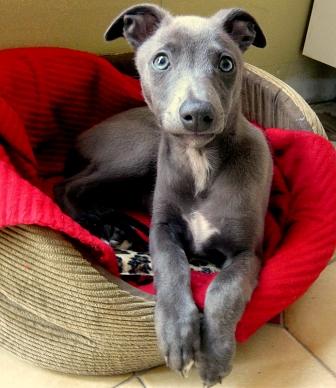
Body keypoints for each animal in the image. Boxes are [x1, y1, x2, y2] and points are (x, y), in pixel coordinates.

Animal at [55, 4, 272, 386]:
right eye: (161, 61)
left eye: (226, 63)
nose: (197, 114)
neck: (200, 163)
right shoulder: (162, 229)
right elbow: (171, 266)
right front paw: (177, 335)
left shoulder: (248, 252)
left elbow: (224, 289)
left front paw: (214, 355)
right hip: (142, 149)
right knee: (68, 185)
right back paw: (97, 223)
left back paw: (112, 225)